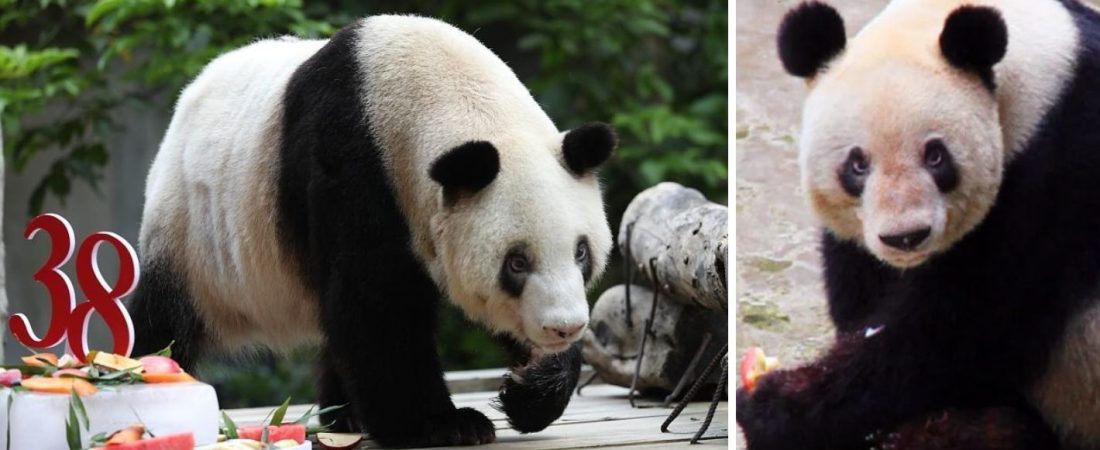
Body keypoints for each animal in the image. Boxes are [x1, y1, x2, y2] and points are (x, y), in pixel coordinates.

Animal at [126, 15, 616, 447]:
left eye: (581, 252)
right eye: (516, 262)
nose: (563, 328)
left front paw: (530, 386)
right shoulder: (355, 168)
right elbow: (375, 305)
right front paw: (444, 425)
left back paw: (343, 416)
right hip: (192, 230)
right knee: (164, 320)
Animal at [737, 0, 1100, 449]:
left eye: (936, 156)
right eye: (857, 164)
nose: (906, 237)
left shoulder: (1057, 170)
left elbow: (962, 333)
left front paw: (778, 404)